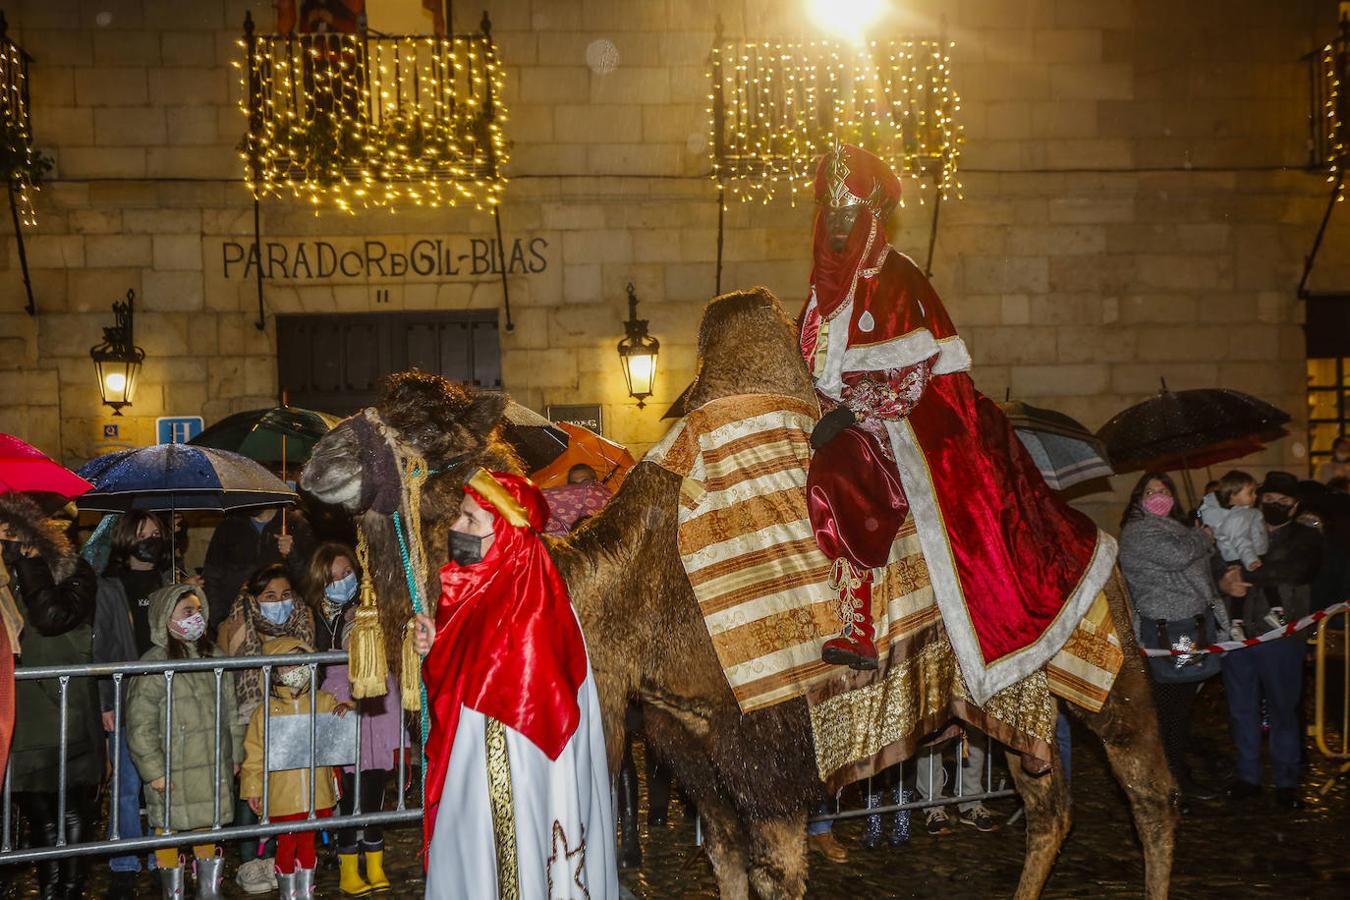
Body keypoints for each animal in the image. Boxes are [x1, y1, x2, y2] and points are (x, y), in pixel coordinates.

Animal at [301, 288, 1177, 900]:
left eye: (431, 429)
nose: (317, 460)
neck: (632, 599)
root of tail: (1084, 526)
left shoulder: (769, 744)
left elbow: (776, 874)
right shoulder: (686, 741)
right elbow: (725, 864)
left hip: (1105, 662)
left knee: (1149, 791)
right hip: (1005, 700)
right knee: (1048, 801)